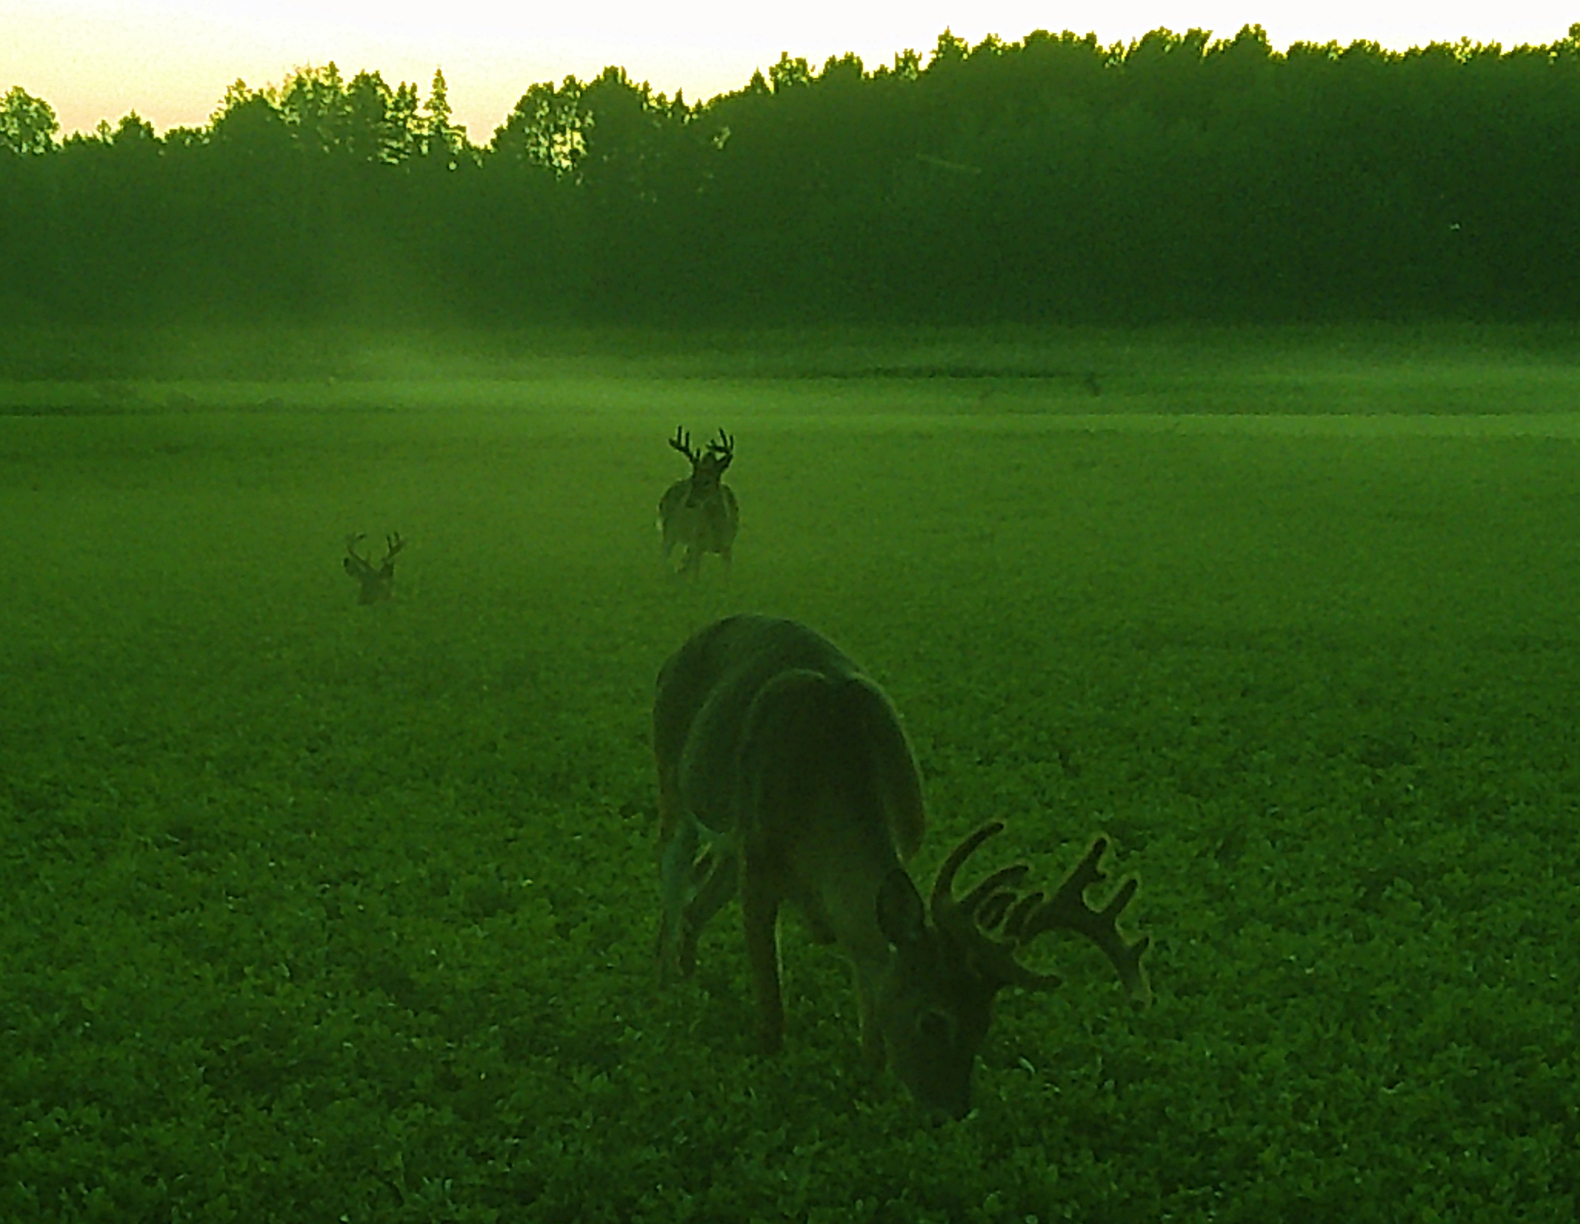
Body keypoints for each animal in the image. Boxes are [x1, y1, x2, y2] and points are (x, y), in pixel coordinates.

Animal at [653, 615, 1150, 1121]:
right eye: (932, 1020)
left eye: (984, 1020)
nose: (952, 1109)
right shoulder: (759, 861)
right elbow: (771, 1000)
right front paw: (770, 1056)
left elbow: (871, 975)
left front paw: (872, 1075)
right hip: (673, 777)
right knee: (674, 874)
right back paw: (664, 980)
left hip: (729, 842)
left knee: (701, 892)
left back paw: (687, 968)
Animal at [658, 426, 739, 577]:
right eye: (693, 479)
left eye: (707, 482)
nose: (688, 502)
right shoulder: (698, 545)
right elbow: (695, 576)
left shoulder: (727, 546)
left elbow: (727, 575)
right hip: (670, 531)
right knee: (664, 556)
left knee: (682, 564)